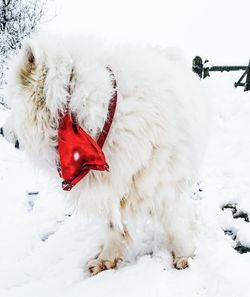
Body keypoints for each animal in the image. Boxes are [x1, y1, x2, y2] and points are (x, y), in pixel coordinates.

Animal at [1, 35, 207, 276]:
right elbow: (111, 225)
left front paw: (185, 255)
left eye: (12, 106)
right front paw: (106, 260)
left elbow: (175, 223)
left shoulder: (161, 182)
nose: (2, 131)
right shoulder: (107, 182)